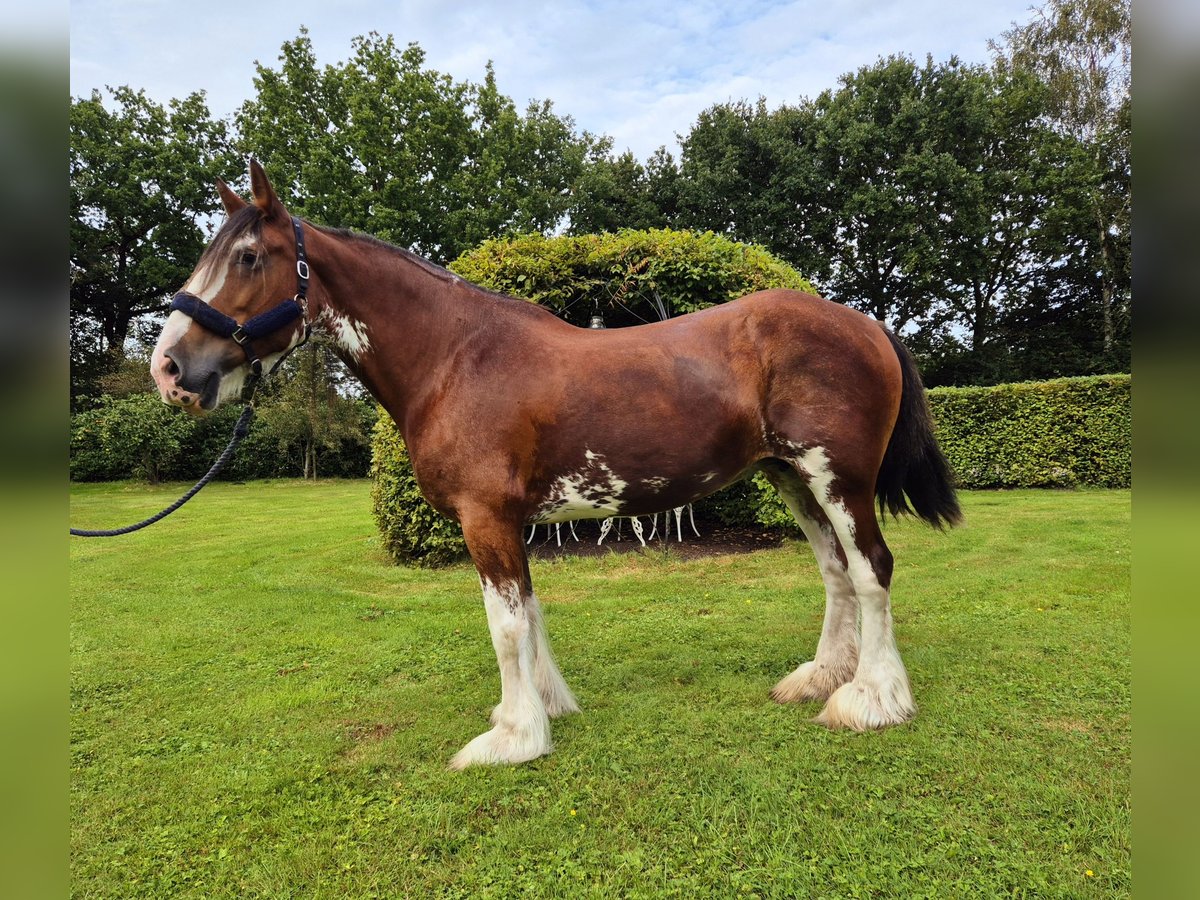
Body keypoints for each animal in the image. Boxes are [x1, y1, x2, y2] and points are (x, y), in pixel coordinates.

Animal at [150, 160, 960, 768]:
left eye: (248, 257)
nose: (170, 369)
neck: (457, 358)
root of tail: (865, 323)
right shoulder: (513, 521)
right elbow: (530, 614)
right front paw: (545, 708)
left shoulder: (485, 518)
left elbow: (504, 626)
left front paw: (513, 737)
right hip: (792, 478)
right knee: (835, 571)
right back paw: (821, 677)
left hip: (839, 479)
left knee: (872, 569)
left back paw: (871, 699)